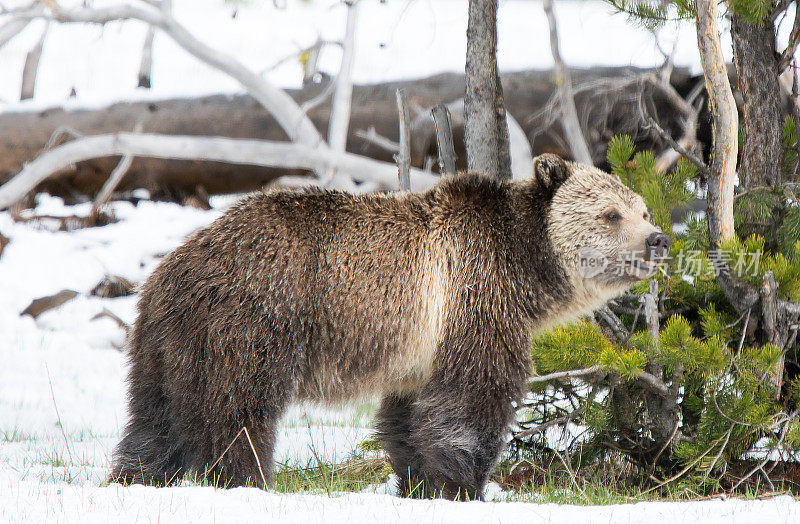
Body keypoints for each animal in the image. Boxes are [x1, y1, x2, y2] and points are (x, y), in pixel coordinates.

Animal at [108, 155, 668, 500]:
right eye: (611, 214)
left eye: (641, 207)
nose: (658, 238)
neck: (526, 267)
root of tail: (169, 271)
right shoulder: (474, 298)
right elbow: (471, 400)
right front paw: (464, 484)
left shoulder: (419, 350)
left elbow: (408, 417)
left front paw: (419, 481)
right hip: (252, 324)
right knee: (237, 416)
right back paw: (247, 482)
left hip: (166, 347)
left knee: (154, 423)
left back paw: (133, 479)